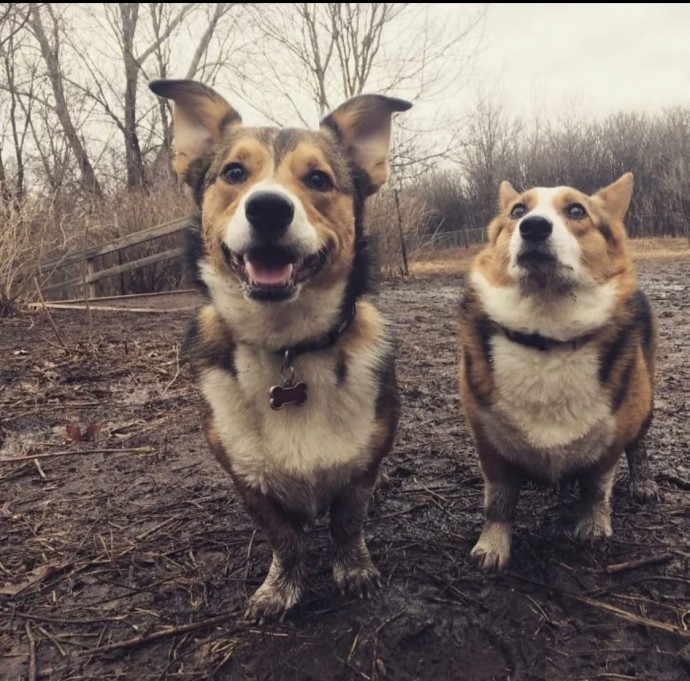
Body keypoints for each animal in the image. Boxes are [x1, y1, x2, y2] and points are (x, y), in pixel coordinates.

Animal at [149, 78, 408, 616]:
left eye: (318, 179)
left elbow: (347, 523)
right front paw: (281, 587)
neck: (289, 344)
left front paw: (354, 569)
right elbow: (283, 538)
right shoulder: (247, 479)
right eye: (233, 173)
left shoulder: (362, 467)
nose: (268, 207)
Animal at [456, 171, 656, 568]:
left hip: (645, 403)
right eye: (518, 211)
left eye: (576, 210)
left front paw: (594, 527)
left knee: (638, 446)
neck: (546, 333)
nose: (533, 227)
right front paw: (492, 546)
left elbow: (596, 488)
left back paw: (641, 481)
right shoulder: (488, 443)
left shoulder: (610, 440)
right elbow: (498, 502)